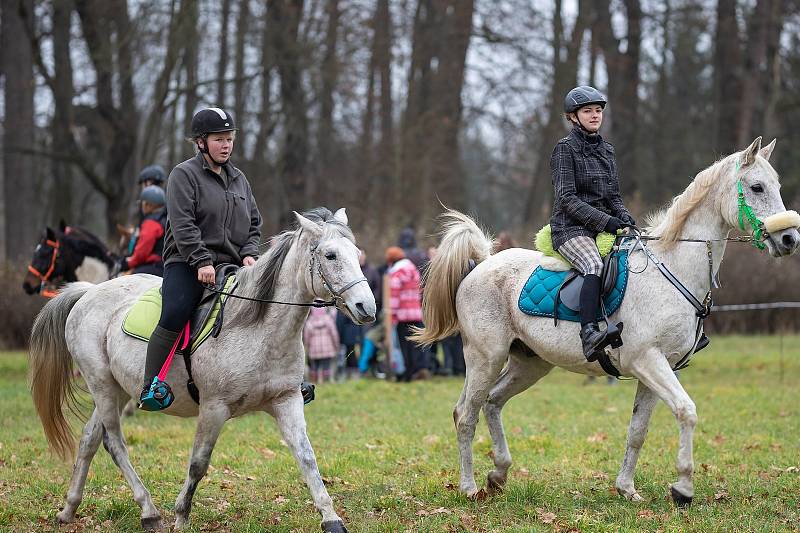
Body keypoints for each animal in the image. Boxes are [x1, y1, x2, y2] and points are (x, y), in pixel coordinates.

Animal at [26, 208, 374, 532]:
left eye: (357, 254)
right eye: (330, 255)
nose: (367, 308)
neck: (259, 329)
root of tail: (88, 292)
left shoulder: (286, 400)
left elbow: (307, 457)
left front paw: (331, 518)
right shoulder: (213, 408)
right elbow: (198, 463)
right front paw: (181, 516)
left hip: (120, 388)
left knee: (90, 439)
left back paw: (69, 509)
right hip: (101, 384)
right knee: (115, 442)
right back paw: (149, 511)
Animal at [412, 136, 800, 502]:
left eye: (777, 185)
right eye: (757, 187)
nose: (789, 239)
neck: (672, 269)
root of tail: (481, 264)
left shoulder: (659, 368)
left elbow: (637, 431)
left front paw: (627, 489)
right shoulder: (647, 360)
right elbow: (686, 410)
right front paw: (683, 488)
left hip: (530, 363)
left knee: (492, 403)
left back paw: (499, 474)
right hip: (485, 358)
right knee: (466, 415)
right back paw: (469, 487)